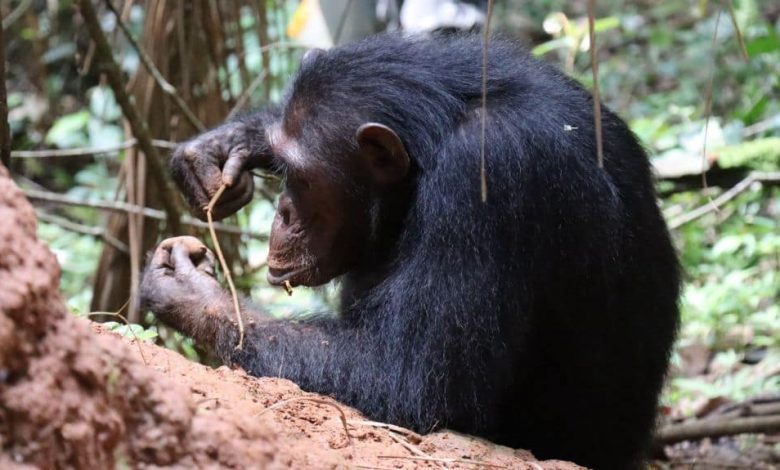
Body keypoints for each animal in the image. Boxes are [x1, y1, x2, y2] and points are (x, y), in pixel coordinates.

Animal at [140, 34, 676, 470]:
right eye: (285, 170)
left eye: (303, 179)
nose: (284, 211)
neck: (435, 141)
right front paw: (227, 144)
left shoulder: (488, 175)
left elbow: (408, 380)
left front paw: (190, 293)